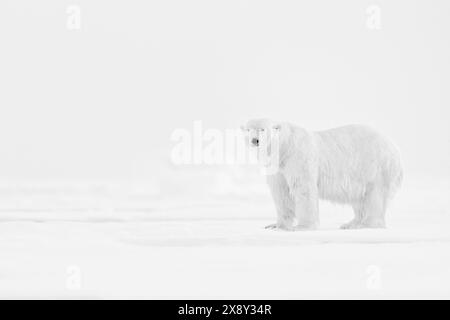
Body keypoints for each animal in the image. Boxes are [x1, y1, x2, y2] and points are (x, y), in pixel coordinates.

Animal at [243, 119, 404, 231]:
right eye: (248, 129)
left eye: (262, 129)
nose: (255, 140)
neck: (284, 148)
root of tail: (395, 150)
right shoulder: (277, 168)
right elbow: (281, 193)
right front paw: (275, 226)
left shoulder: (298, 156)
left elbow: (303, 188)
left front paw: (302, 227)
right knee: (359, 198)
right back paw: (350, 224)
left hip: (375, 167)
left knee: (375, 197)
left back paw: (366, 225)